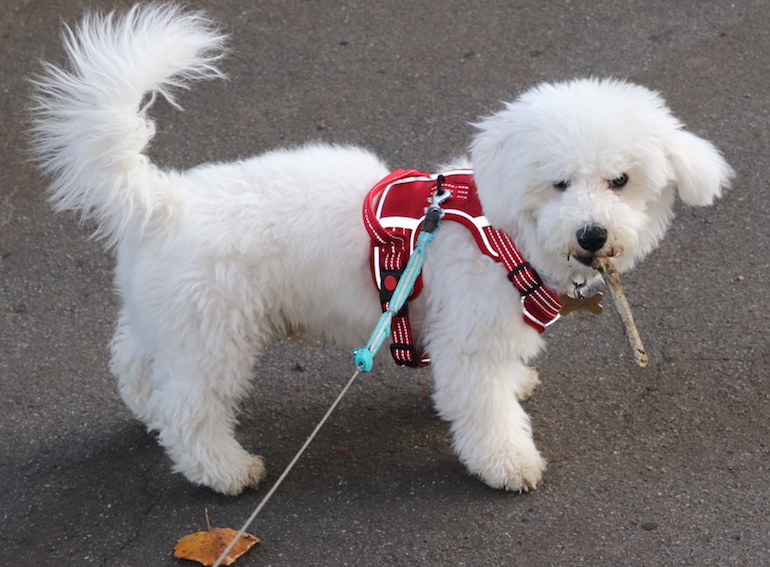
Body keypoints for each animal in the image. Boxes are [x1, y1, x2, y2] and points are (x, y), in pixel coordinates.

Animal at [33, 4, 732, 494]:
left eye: (621, 181)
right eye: (559, 183)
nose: (592, 234)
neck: (503, 230)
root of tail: (164, 199)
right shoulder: (470, 340)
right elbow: (485, 411)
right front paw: (508, 464)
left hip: (169, 320)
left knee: (135, 364)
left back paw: (149, 410)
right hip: (215, 336)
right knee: (190, 410)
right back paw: (224, 470)